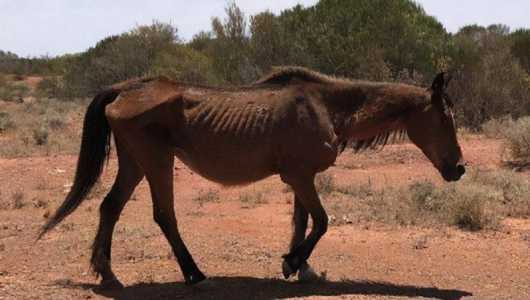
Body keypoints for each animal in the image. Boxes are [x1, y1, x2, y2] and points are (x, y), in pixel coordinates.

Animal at [39, 67, 464, 288]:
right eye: (446, 118)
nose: (459, 167)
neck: (326, 106)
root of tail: (126, 88)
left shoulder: (300, 178)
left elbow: (302, 222)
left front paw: (299, 267)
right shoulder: (301, 177)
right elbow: (322, 222)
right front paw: (292, 261)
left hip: (134, 162)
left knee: (110, 207)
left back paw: (108, 274)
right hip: (155, 161)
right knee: (164, 216)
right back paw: (194, 273)